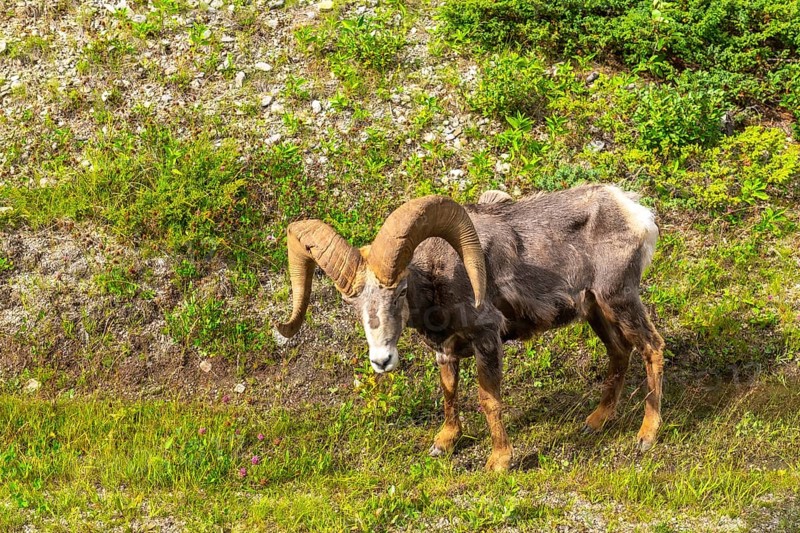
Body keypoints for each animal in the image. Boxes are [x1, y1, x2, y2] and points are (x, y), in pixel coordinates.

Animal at [276, 183, 664, 472]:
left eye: (401, 290)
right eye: (352, 302)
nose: (382, 360)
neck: (441, 278)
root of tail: (636, 214)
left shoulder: (487, 338)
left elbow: (488, 400)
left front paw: (499, 462)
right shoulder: (445, 351)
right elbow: (449, 393)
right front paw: (445, 443)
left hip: (619, 300)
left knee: (652, 348)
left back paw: (646, 437)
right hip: (597, 310)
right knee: (620, 353)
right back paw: (595, 422)